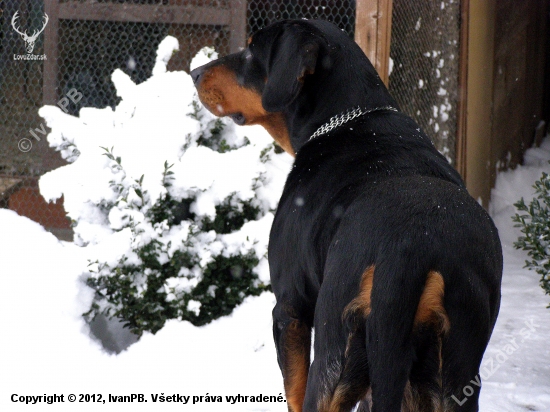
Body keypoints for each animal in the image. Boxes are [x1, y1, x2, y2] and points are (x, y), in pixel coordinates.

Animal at [193, 18, 504, 408]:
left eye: (251, 50)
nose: (194, 72)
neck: (348, 119)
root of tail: (410, 252)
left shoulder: (290, 309)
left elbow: (293, 390)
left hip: (336, 347)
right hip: (451, 369)